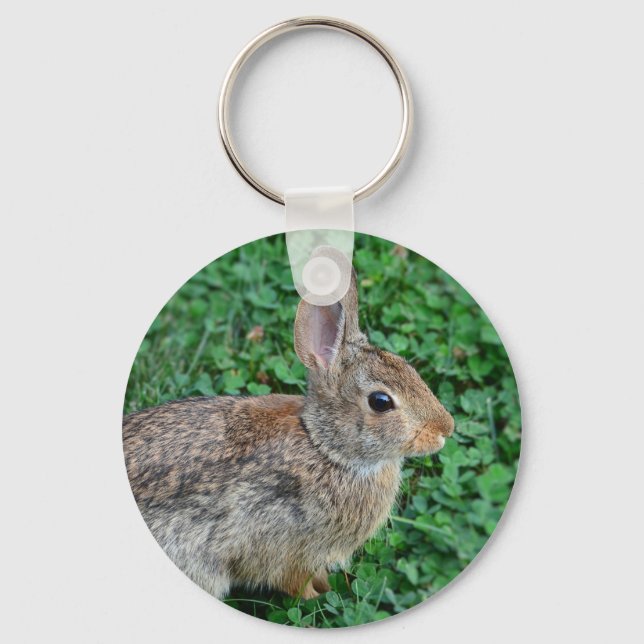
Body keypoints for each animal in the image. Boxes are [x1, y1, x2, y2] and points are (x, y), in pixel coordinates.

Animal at [123, 269, 454, 600]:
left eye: (407, 366)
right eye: (381, 401)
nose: (445, 429)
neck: (325, 447)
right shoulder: (282, 549)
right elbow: (296, 585)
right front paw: (321, 597)